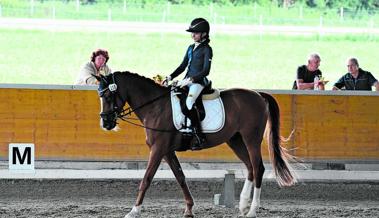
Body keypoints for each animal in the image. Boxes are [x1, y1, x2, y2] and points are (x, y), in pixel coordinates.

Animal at [94, 71, 296, 216]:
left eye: (109, 96)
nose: (105, 123)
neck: (155, 107)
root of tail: (258, 94)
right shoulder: (167, 151)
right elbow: (181, 177)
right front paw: (189, 209)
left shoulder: (158, 150)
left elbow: (147, 178)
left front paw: (134, 211)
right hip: (235, 140)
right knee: (250, 168)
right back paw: (243, 205)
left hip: (251, 138)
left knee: (258, 167)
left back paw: (252, 210)